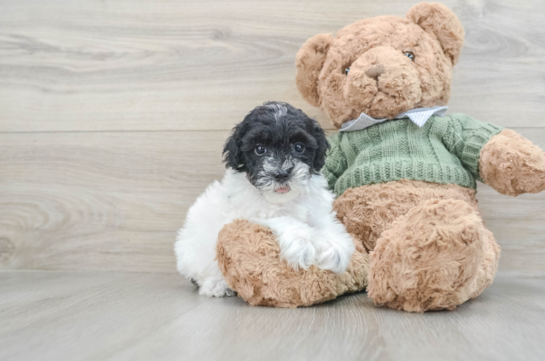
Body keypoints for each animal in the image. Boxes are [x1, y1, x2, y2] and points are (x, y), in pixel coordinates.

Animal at [173, 100, 352, 296]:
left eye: (299, 147)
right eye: (260, 149)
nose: (281, 173)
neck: (283, 199)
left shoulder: (316, 207)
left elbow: (324, 224)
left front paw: (335, 247)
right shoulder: (248, 215)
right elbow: (284, 219)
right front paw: (302, 243)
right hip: (193, 254)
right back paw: (217, 285)